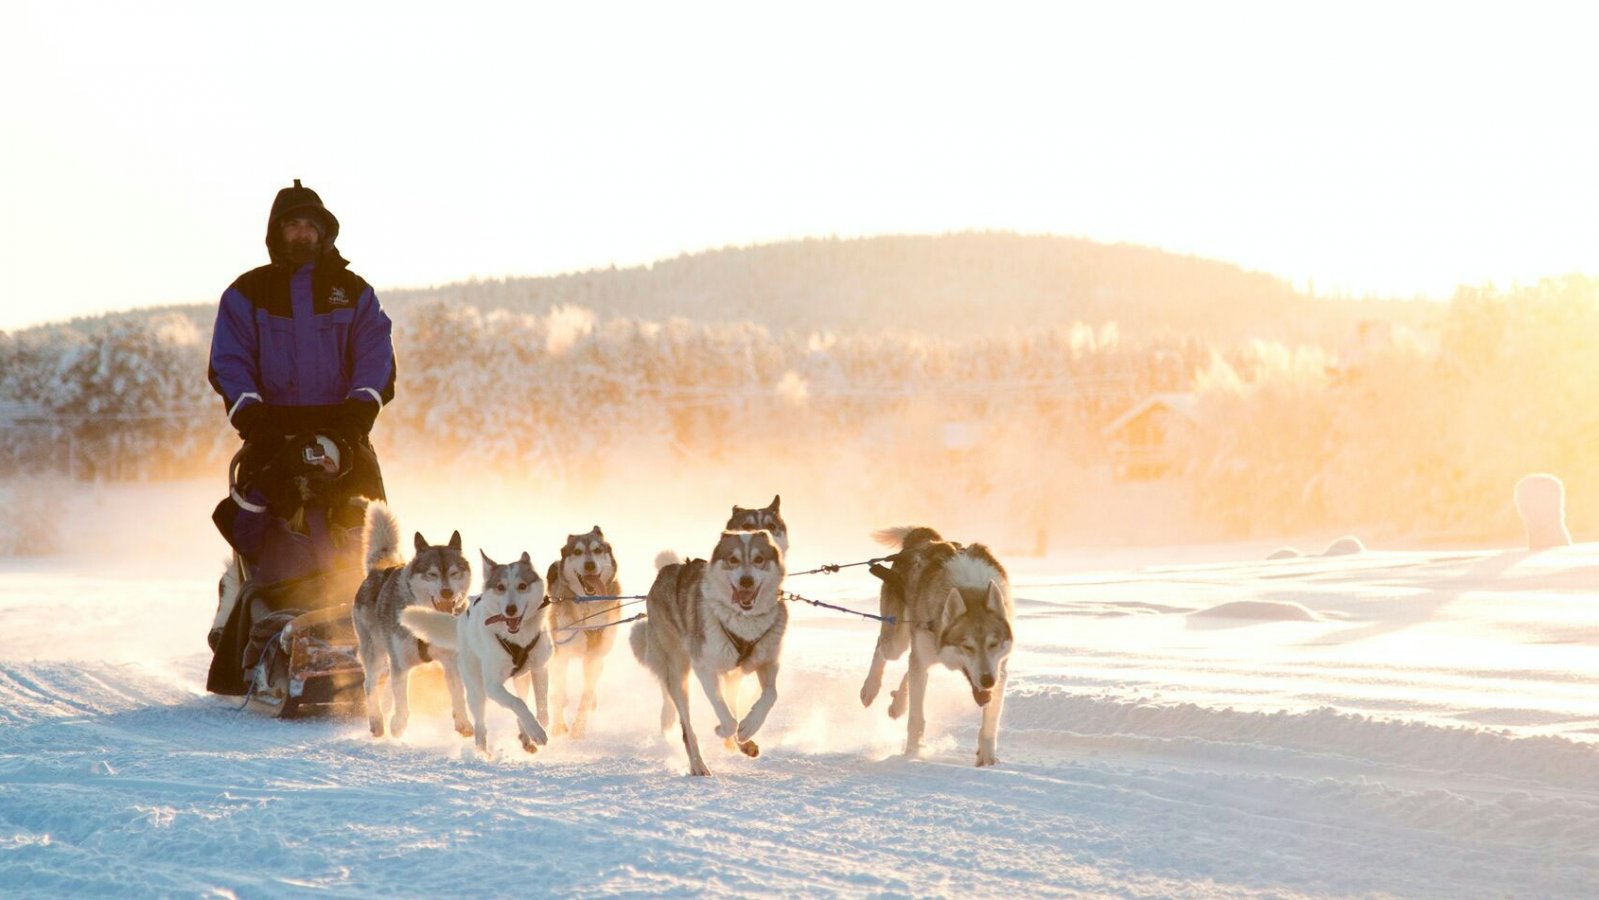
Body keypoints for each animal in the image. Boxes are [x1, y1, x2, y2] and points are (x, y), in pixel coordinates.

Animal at [353, 498, 470, 738]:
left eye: (454, 573)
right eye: (432, 574)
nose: (447, 592)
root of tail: (377, 570)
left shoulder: (451, 661)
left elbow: (458, 695)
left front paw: (463, 723)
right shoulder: (401, 662)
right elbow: (402, 703)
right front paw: (398, 725)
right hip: (376, 653)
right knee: (370, 686)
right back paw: (377, 721)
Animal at [399, 553, 550, 757]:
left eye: (522, 586)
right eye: (500, 587)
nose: (510, 609)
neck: (518, 639)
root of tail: (461, 619)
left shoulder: (540, 669)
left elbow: (540, 705)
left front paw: (538, 726)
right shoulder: (492, 685)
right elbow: (518, 703)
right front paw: (536, 731)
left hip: (521, 678)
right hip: (476, 690)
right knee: (481, 725)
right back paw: (481, 754)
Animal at [550, 527, 623, 738]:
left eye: (598, 550)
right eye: (577, 551)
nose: (590, 565)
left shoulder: (593, 657)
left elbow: (586, 695)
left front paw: (578, 729)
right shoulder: (560, 654)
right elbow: (558, 691)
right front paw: (557, 726)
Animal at [633, 530, 789, 776]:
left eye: (759, 559)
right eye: (733, 559)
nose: (746, 581)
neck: (743, 621)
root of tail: (667, 570)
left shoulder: (767, 661)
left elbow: (770, 696)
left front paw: (749, 727)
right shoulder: (704, 667)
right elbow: (725, 715)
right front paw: (723, 730)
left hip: (732, 675)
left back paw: (743, 744)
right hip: (678, 674)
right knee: (687, 728)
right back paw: (698, 765)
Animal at [863, 527, 1010, 767]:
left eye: (993, 644)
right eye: (967, 646)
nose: (988, 680)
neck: (967, 588)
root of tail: (925, 538)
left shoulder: (1001, 670)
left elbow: (990, 723)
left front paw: (988, 758)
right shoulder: (921, 655)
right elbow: (916, 718)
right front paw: (912, 753)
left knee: (909, 670)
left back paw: (898, 703)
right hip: (897, 642)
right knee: (882, 649)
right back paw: (870, 689)